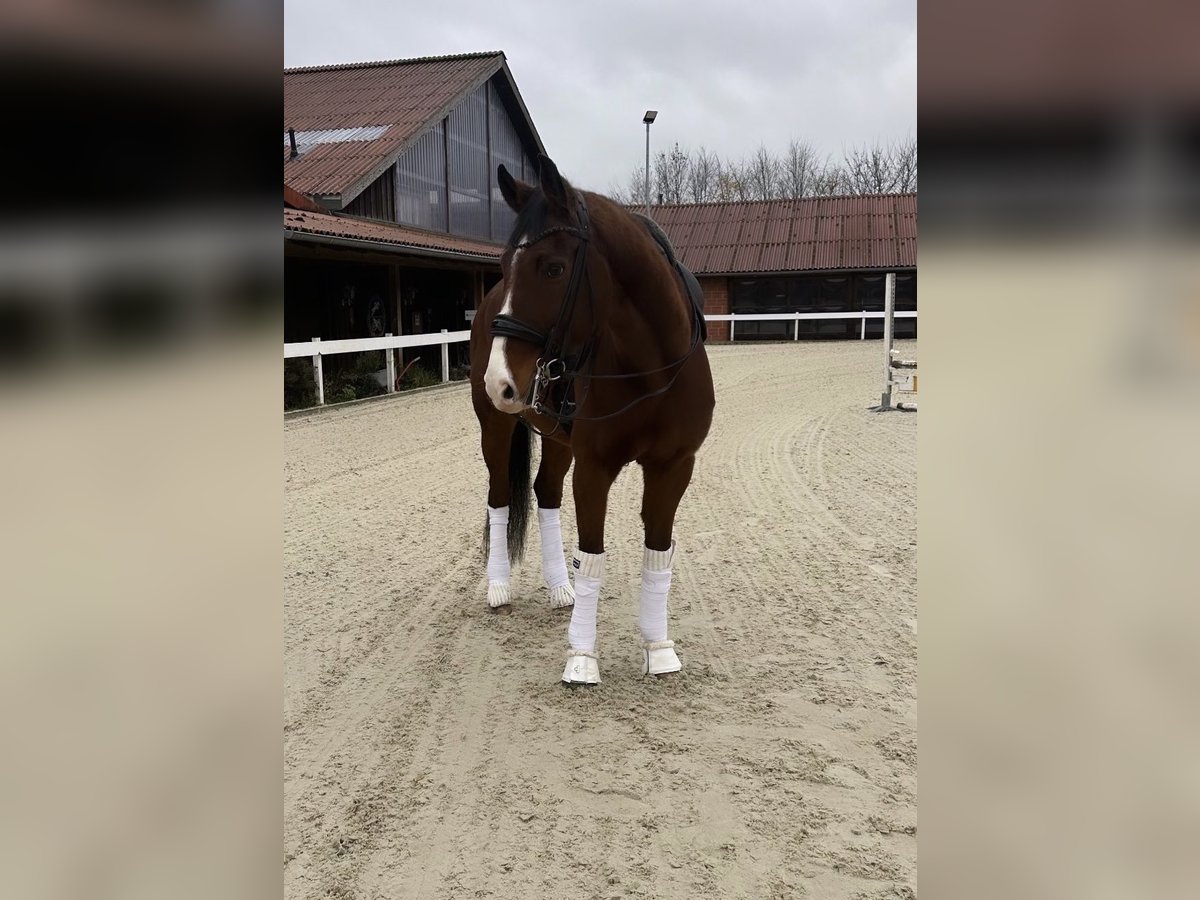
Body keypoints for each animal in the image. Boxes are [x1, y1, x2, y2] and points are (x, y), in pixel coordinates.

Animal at [468, 154, 710, 686]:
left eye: (553, 267)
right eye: (504, 264)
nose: (500, 381)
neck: (650, 368)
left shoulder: (674, 466)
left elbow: (657, 552)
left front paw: (658, 647)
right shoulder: (595, 467)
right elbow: (594, 558)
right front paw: (582, 657)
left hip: (559, 439)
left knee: (545, 493)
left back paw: (561, 587)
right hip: (495, 428)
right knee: (499, 495)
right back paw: (498, 586)